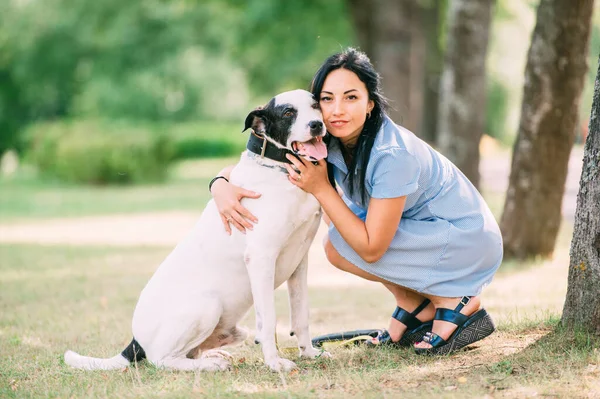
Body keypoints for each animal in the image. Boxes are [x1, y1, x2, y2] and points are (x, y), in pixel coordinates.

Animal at [64, 89, 332, 374]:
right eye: (288, 112)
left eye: (316, 105)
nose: (317, 125)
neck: (278, 169)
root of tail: (136, 342)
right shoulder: (261, 258)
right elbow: (268, 320)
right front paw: (274, 362)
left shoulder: (299, 262)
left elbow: (301, 315)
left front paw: (309, 353)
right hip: (207, 306)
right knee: (163, 360)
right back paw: (211, 364)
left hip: (233, 329)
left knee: (192, 351)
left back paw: (212, 356)